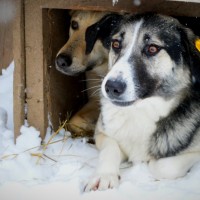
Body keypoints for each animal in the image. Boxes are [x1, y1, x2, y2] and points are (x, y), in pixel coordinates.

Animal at [84, 13, 200, 191]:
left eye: (152, 49)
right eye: (116, 44)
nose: (111, 87)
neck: (140, 111)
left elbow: (163, 166)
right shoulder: (101, 133)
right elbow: (110, 148)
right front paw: (105, 175)